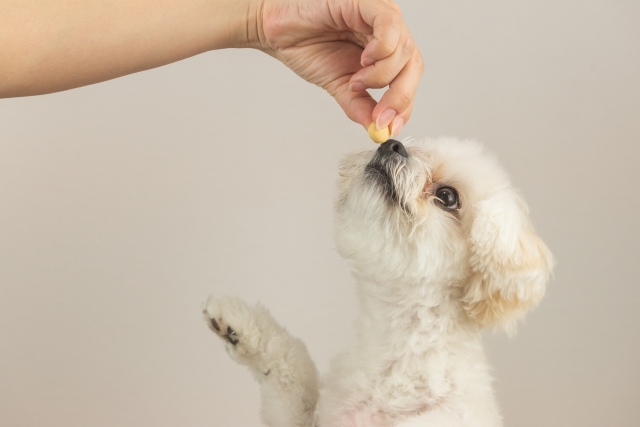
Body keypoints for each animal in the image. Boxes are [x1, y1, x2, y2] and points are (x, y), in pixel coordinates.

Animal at [202, 138, 552, 427]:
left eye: (448, 196)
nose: (392, 144)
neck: (398, 359)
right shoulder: (311, 417)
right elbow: (291, 366)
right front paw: (240, 328)